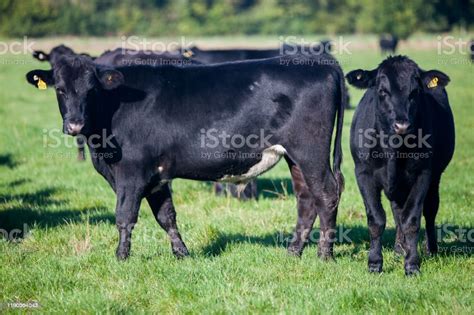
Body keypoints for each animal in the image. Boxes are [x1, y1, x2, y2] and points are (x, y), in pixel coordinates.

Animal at [25, 53, 344, 262]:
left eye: (91, 89)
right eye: (60, 89)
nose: (74, 125)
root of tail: (322, 63)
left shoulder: (132, 171)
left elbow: (125, 215)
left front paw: (121, 257)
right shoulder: (157, 174)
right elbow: (166, 216)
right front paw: (182, 253)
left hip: (310, 151)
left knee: (326, 193)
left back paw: (324, 255)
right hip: (295, 157)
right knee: (306, 199)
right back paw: (293, 252)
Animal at [348, 56, 456, 276]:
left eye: (415, 92)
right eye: (382, 91)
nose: (402, 126)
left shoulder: (423, 174)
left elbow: (411, 219)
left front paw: (412, 264)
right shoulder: (363, 173)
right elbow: (376, 219)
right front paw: (374, 263)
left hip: (435, 177)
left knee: (430, 209)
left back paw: (430, 249)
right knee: (397, 210)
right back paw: (399, 248)